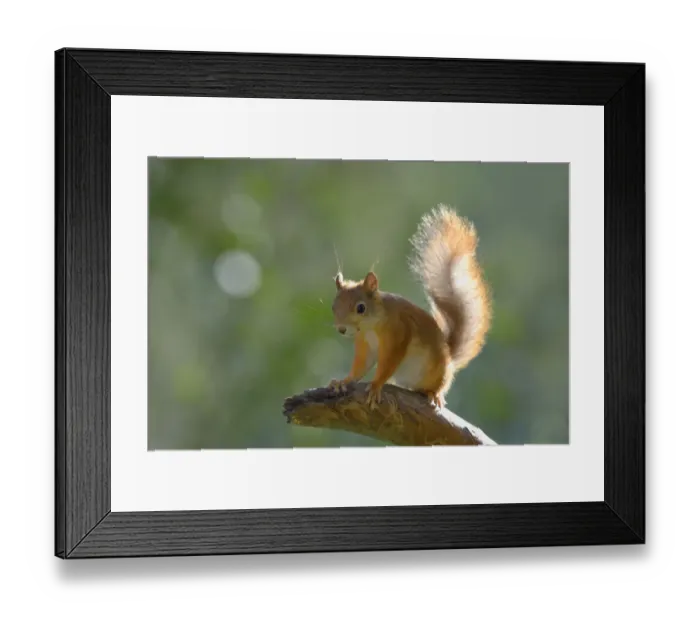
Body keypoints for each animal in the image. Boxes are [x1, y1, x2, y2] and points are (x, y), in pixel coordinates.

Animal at [328, 204, 492, 410]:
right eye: (333, 307)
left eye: (361, 308)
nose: (341, 329)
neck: (371, 327)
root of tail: (449, 358)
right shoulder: (364, 344)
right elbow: (361, 367)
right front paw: (343, 381)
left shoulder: (398, 334)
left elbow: (388, 363)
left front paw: (375, 386)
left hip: (437, 372)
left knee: (439, 386)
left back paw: (434, 394)